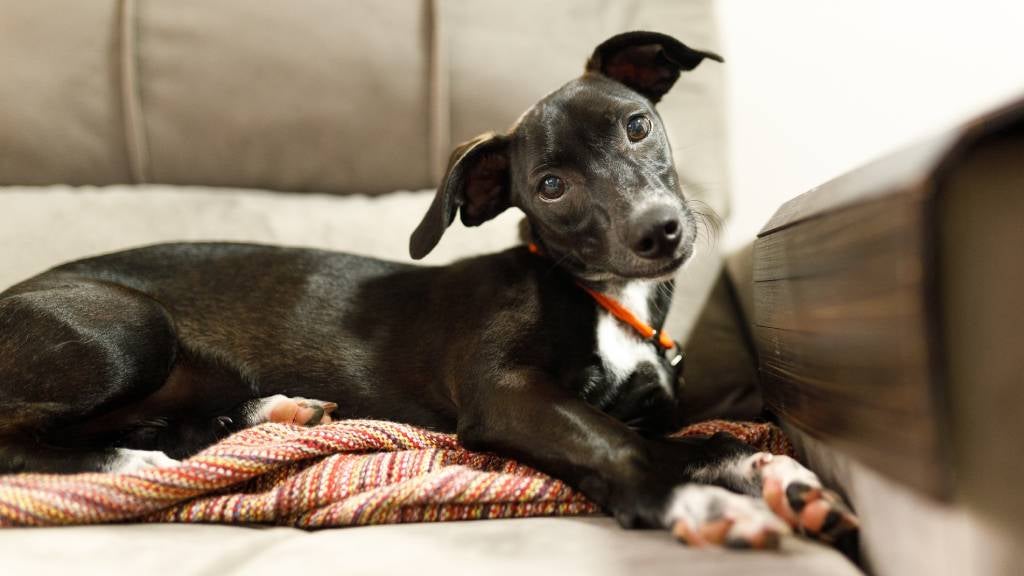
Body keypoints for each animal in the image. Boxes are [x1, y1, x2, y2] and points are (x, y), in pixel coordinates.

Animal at [0, 33, 856, 549]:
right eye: (550, 187)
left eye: (638, 125)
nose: (661, 232)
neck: (604, 298)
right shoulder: (508, 394)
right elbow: (616, 444)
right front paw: (697, 504)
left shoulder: (641, 412)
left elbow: (705, 440)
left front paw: (781, 479)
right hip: (129, 329)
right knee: (26, 438)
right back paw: (133, 462)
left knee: (171, 424)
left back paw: (266, 414)